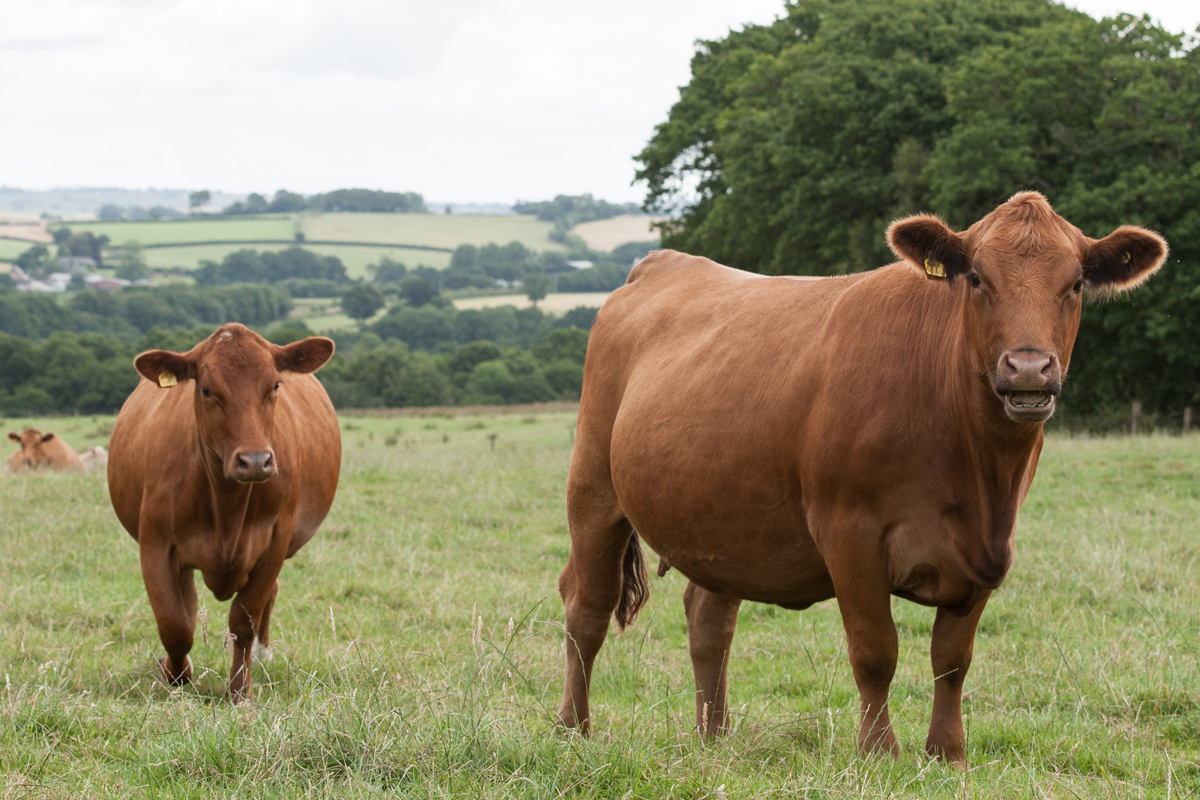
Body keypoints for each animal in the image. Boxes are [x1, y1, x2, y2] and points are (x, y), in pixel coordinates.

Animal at [108, 323, 343, 700]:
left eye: (275, 385)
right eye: (206, 389)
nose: (256, 461)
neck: (226, 504)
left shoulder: (274, 544)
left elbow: (243, 621)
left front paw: (240, 689)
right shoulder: (156, 547)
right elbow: (175, 625)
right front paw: (176, 674)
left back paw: (262, 654)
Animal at [556, 191, 1166, 762]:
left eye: (1076, 284)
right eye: (976, 278)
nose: (1029, 369)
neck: (977, 474)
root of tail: (662, 262)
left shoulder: (987, 549)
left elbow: (953, 659)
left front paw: (948, 753)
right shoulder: (850, 533)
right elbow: (876, 651)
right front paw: (879, 751)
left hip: (719, 521)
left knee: (709, 621)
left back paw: (715, 737)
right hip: (593, 487)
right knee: (586, 608)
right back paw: (573, 731)